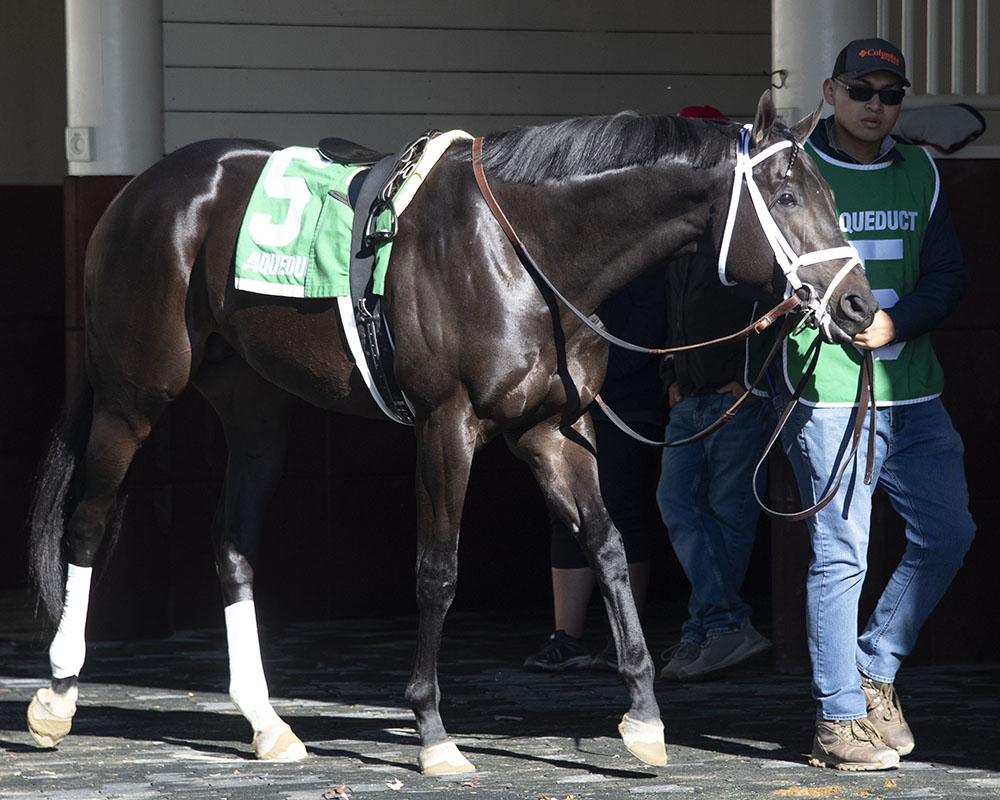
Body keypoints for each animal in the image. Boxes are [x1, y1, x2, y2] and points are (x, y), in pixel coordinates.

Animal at [27, 92, 876, 776]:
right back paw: (58, 695)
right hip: (135, 396)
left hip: (256, 407)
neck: (524, 251)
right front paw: (433, 732)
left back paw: (268, 724)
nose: (860, 307)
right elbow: (438, 570)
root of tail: (137, 192)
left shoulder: (549, 428)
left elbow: (606, 547)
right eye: (787, 193)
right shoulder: (448, 425)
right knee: (90, 523)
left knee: (231, 545)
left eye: (831, 191)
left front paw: (642, 718)